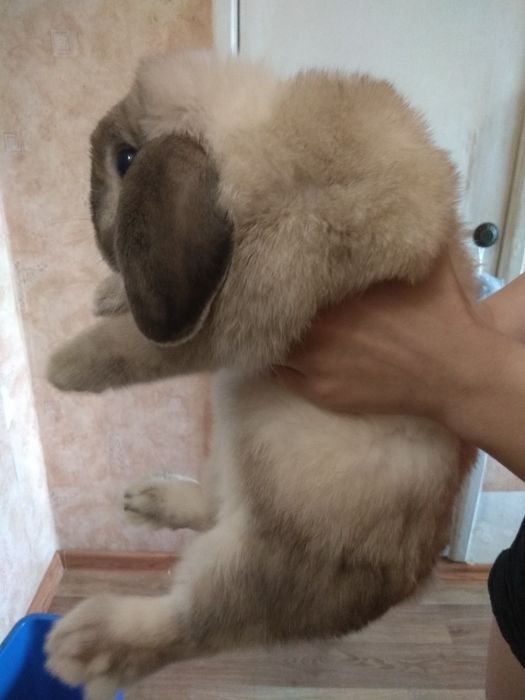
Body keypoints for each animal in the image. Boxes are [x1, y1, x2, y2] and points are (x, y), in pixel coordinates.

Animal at [45, 51, 476, 699]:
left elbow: (140, 350)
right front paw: (105, 296)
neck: (256, 137)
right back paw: (147, 501)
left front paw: (63, 368)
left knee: (191, 623)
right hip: (233, 439)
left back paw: (80, 646)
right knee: (214, 506)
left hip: (257, 559)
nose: (100, 238)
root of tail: (406, 584)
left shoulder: (239, 313)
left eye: (125, 160)